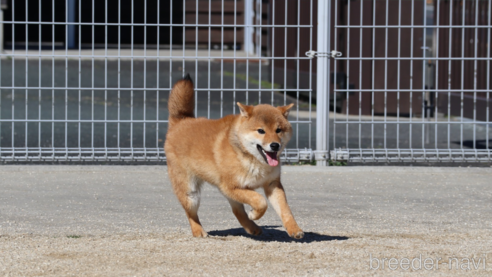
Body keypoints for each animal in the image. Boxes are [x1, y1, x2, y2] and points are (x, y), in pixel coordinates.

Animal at [165, 73, 304, 237]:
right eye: (261, 131)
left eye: (278, 130)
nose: (275, 145)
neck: (250, 158)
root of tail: (180, 121)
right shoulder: (231, 187)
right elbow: (260, 200)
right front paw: (254, 213)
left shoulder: (272, 184)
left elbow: (285, 210)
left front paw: (294, 229)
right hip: (190, 193)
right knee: (191, 213)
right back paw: (199, 231)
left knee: (237, 211)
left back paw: (252, 227)